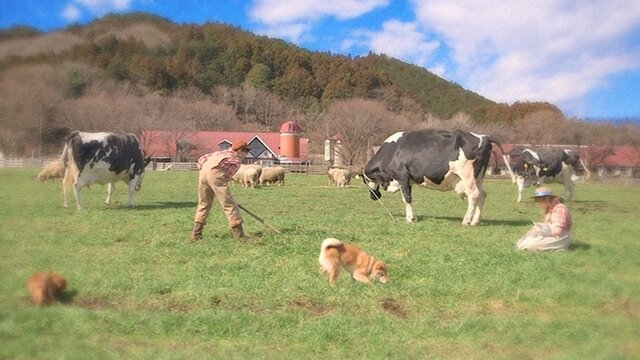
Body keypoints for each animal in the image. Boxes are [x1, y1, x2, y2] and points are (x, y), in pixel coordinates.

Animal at [364, 129, 510, 225]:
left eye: (365, 182)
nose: (373, 197)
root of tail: (484, 136)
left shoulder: (403, 176)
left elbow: (407, 199)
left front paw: (410, 219)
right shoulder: (408, 180)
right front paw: (411, 217)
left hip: (467, 175)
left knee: (474, 195)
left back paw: (466, 220)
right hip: (478, 176)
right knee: (483, 194)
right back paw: (475, 221)